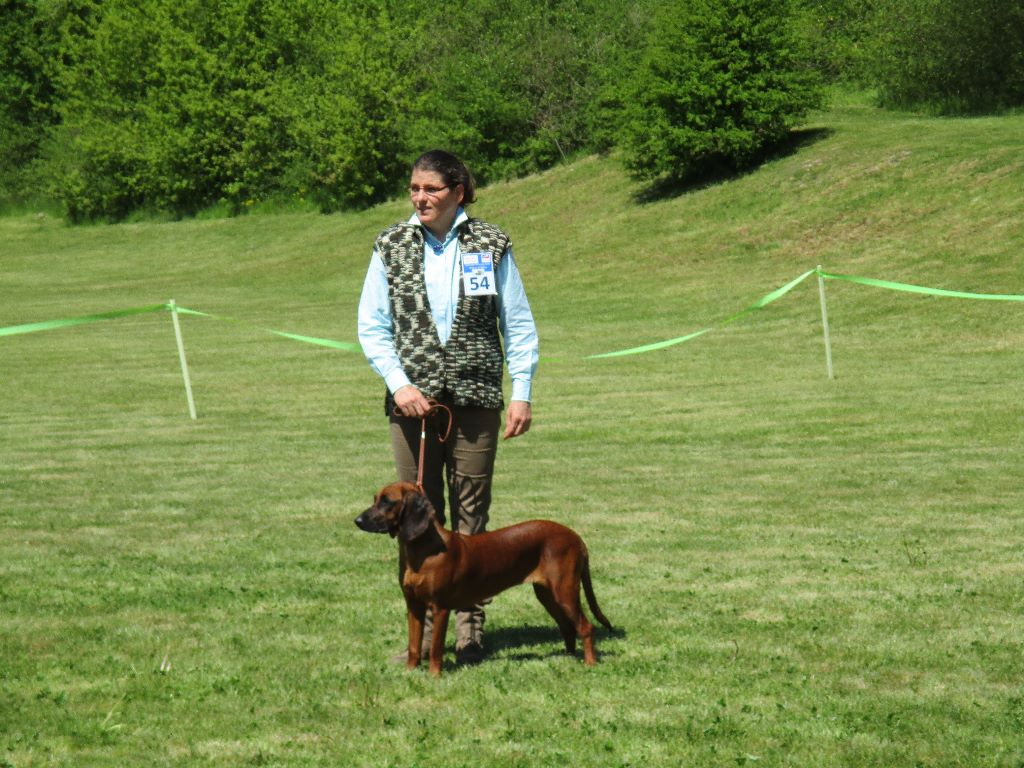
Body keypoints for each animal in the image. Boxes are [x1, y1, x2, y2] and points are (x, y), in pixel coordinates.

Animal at [356, 483, 610, 675]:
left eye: (387, 501)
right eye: (375, 499)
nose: (357, 520)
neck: (422, 551)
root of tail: (576, 537)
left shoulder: (440, 608)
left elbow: (436, 648)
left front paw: (434, 676)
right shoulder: (413, 606)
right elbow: (414, 645)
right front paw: (410, 672)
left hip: (565, 591)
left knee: (585, 626)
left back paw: (590, 663)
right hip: (547, 594)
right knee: (567, 626)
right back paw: (568, 657)